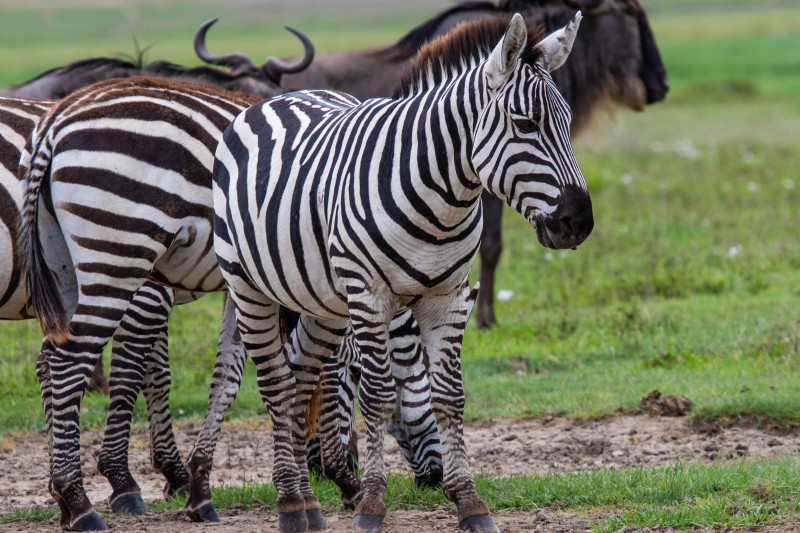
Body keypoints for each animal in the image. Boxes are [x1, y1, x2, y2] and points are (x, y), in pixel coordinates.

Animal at [214, 11, 592, 532]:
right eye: (525, 123)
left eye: (568, 124)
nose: (580, 222)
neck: (442, 197)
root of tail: (275, 98)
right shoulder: (370, 297)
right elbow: (377, 396)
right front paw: (372, 503)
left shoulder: (447, 297)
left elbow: (449, 397)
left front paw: (469, 502)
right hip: (249, 286)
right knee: (275, 383)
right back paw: (290, 504)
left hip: (322, 302)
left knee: (300, 378)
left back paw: (309, 504)